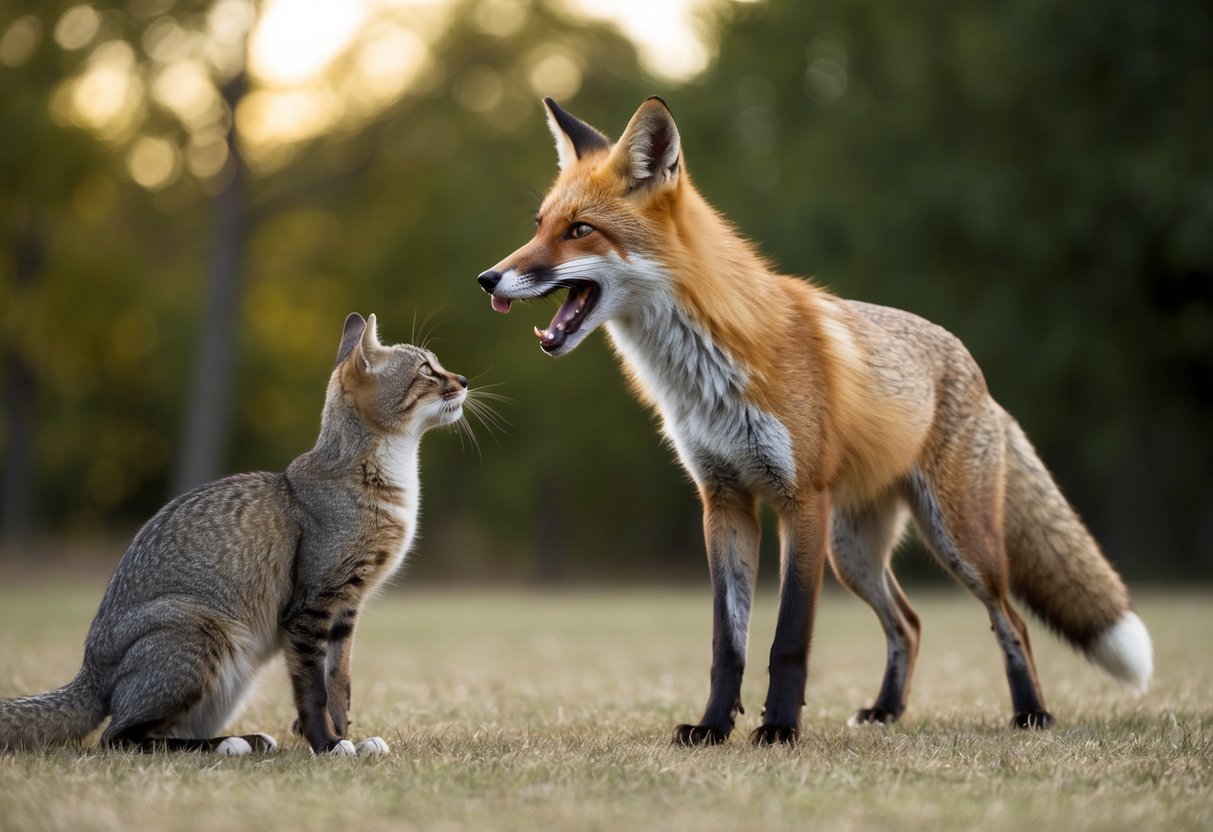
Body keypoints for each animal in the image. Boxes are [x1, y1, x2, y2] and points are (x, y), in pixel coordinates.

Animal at [1, 313, 469, 755]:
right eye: (428, 370)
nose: (463, 380)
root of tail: (90, 670)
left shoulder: (346, 611)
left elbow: (340, 685)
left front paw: (347, 737)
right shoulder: (309, 609)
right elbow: (313, 691)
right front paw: (328, 744)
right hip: (203, 633)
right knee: (119, 737)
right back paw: (232, 744)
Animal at [477, 96, 1153, 745]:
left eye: (579, 231)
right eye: (539, 227)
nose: (487, 278)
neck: (706, 371)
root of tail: (976, 372)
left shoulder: (799, 500)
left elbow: (788, 640)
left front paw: (779, 730)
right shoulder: (724, 501)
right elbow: (728, 642)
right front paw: (713, 727)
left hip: (956, 542)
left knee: (1011, 620)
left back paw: (1031, 713)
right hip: (853, 552)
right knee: (910, 623)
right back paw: (886, 711)